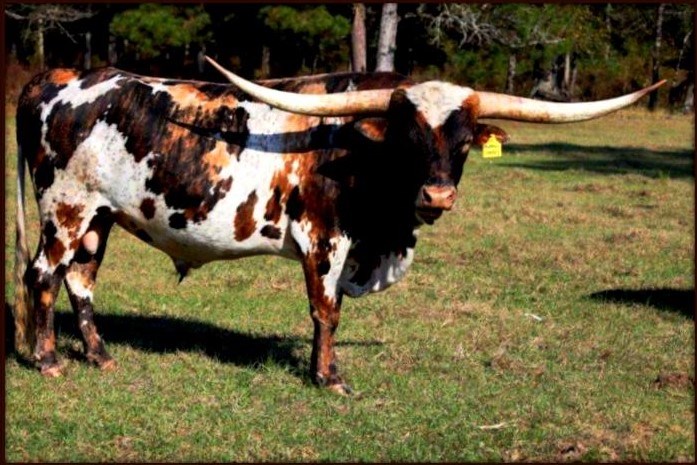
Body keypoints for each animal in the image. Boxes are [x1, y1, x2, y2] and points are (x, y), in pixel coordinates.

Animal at [13, 57, 663, 394]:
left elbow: (333, 311)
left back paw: (100, 356)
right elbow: (326, 311)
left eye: (462, 143)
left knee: (81, 282)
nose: (438, 195)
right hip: (65, 209)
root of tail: (56, 77)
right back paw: (47, 360)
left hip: (98, 216)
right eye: (408, 137)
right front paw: (329, 379)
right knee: (42, 276)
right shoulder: (325, 241)